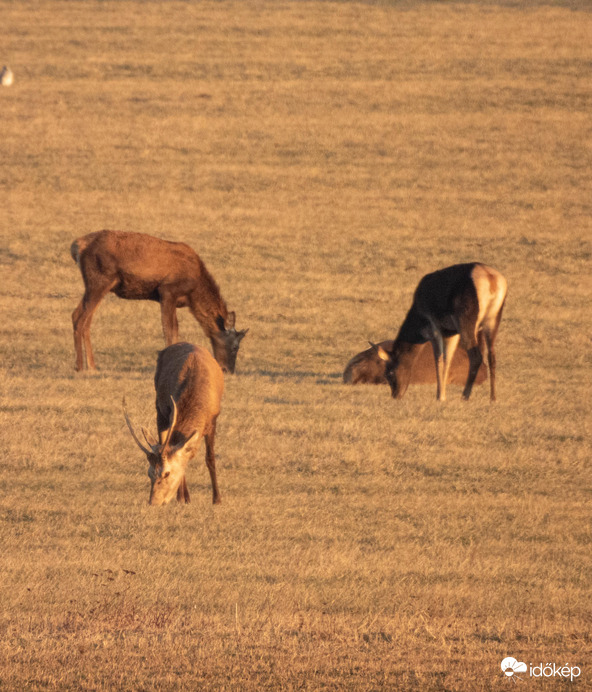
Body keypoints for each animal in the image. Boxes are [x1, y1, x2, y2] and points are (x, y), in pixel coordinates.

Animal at [71, 231, 247, 374]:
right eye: (235, 346)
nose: (228, 370)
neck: (194, 292)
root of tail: (76, 246)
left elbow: (174, 329)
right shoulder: (167, 291)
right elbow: (170, 330)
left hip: (98, 285)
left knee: (83, 319)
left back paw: (92, 366)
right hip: (99, 281)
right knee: (78, 317)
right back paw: (80, 367)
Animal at [122, 344, 224, 506]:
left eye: (167, 473)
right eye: (149, 473)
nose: (153, 501)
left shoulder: (213, 420)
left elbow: (210, 458)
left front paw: (217, 499)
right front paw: (183, 497)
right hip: (159, 410)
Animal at [376, 264, 506, 406]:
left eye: (389, 373)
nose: (396, 395)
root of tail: (490, 278)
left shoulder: (435, 330)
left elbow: (438, 359)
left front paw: (440, 396)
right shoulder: (451, 334)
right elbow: (447, 359)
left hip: (468, 325)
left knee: (476, 357)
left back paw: (465, 396)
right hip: (492, 323)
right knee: (491, 357)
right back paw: (493, 398)